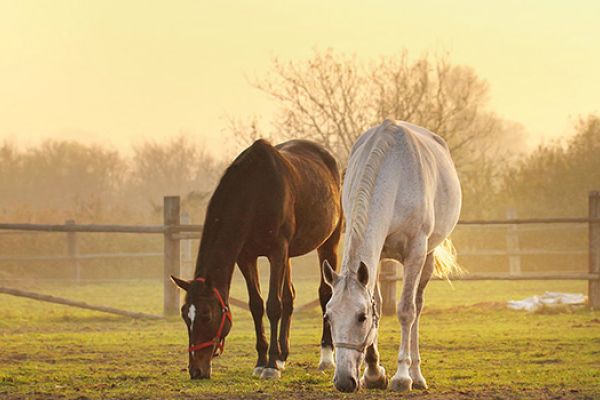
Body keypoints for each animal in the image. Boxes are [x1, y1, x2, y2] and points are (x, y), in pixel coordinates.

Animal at [172, 139, 342, 380]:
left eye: (206, 315)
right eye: (186, 316)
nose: (196, 370)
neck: (256, 191)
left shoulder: (277, 251)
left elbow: (273, 306)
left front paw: (270, 366)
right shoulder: (247, 257)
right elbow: (256, 305)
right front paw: (263, 361)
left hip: (328, 242)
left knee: (325, 293)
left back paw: (326, 357)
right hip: (289, 255)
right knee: (289, 297)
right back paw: (282, 356)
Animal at [324, 119, 460, 394]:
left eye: (361, 317)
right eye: (328, 316)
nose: (343, 381)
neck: (393, 174)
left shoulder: (416, 251)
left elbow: (406, 310)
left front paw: (402, 377)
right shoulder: (375, 257)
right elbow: (376, 300)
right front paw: (374, 373)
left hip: (427, 257)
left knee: (417, 307)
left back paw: (416, 375)